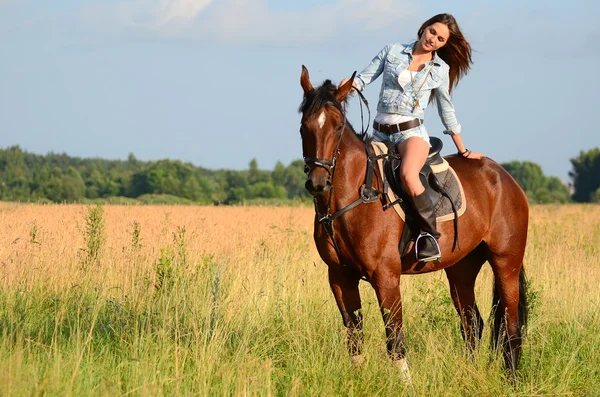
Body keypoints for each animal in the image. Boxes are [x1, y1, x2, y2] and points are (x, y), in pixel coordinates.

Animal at [298, 65, 528, 378]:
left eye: (336, 127)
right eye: (304, 127)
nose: (318, 183)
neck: (356, 197)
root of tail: (504, 177)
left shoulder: (386, 276)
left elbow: (395, 339)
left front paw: (404, 382)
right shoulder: (339, 277)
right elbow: (354, 337)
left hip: (506, 262)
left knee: (510, 326)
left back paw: (511, 379)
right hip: (461, 268)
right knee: (472, 324)